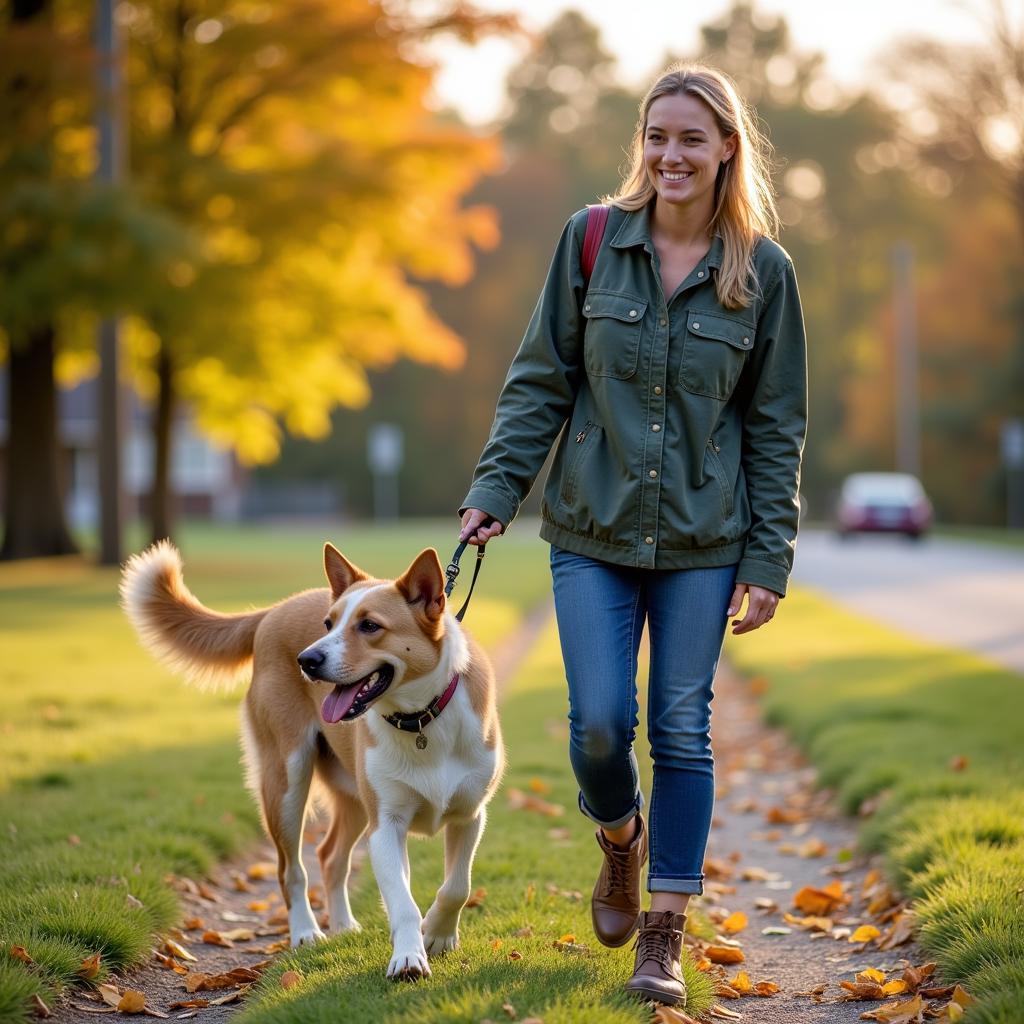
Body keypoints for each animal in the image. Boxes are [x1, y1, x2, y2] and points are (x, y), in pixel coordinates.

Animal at [121, 540, 505, 978]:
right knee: (291, 870)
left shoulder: (469, 816)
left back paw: (342, 925)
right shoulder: (386, 825)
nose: (307, 660)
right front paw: (409, 954)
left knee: (330, 856)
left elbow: (457, 887)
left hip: (352, 799)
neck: (422, 719)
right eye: (328, 623)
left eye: (369, 626)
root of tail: (272, 611)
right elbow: (403, 901)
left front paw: (437, 934)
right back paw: (306, 931)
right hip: (286, 784)